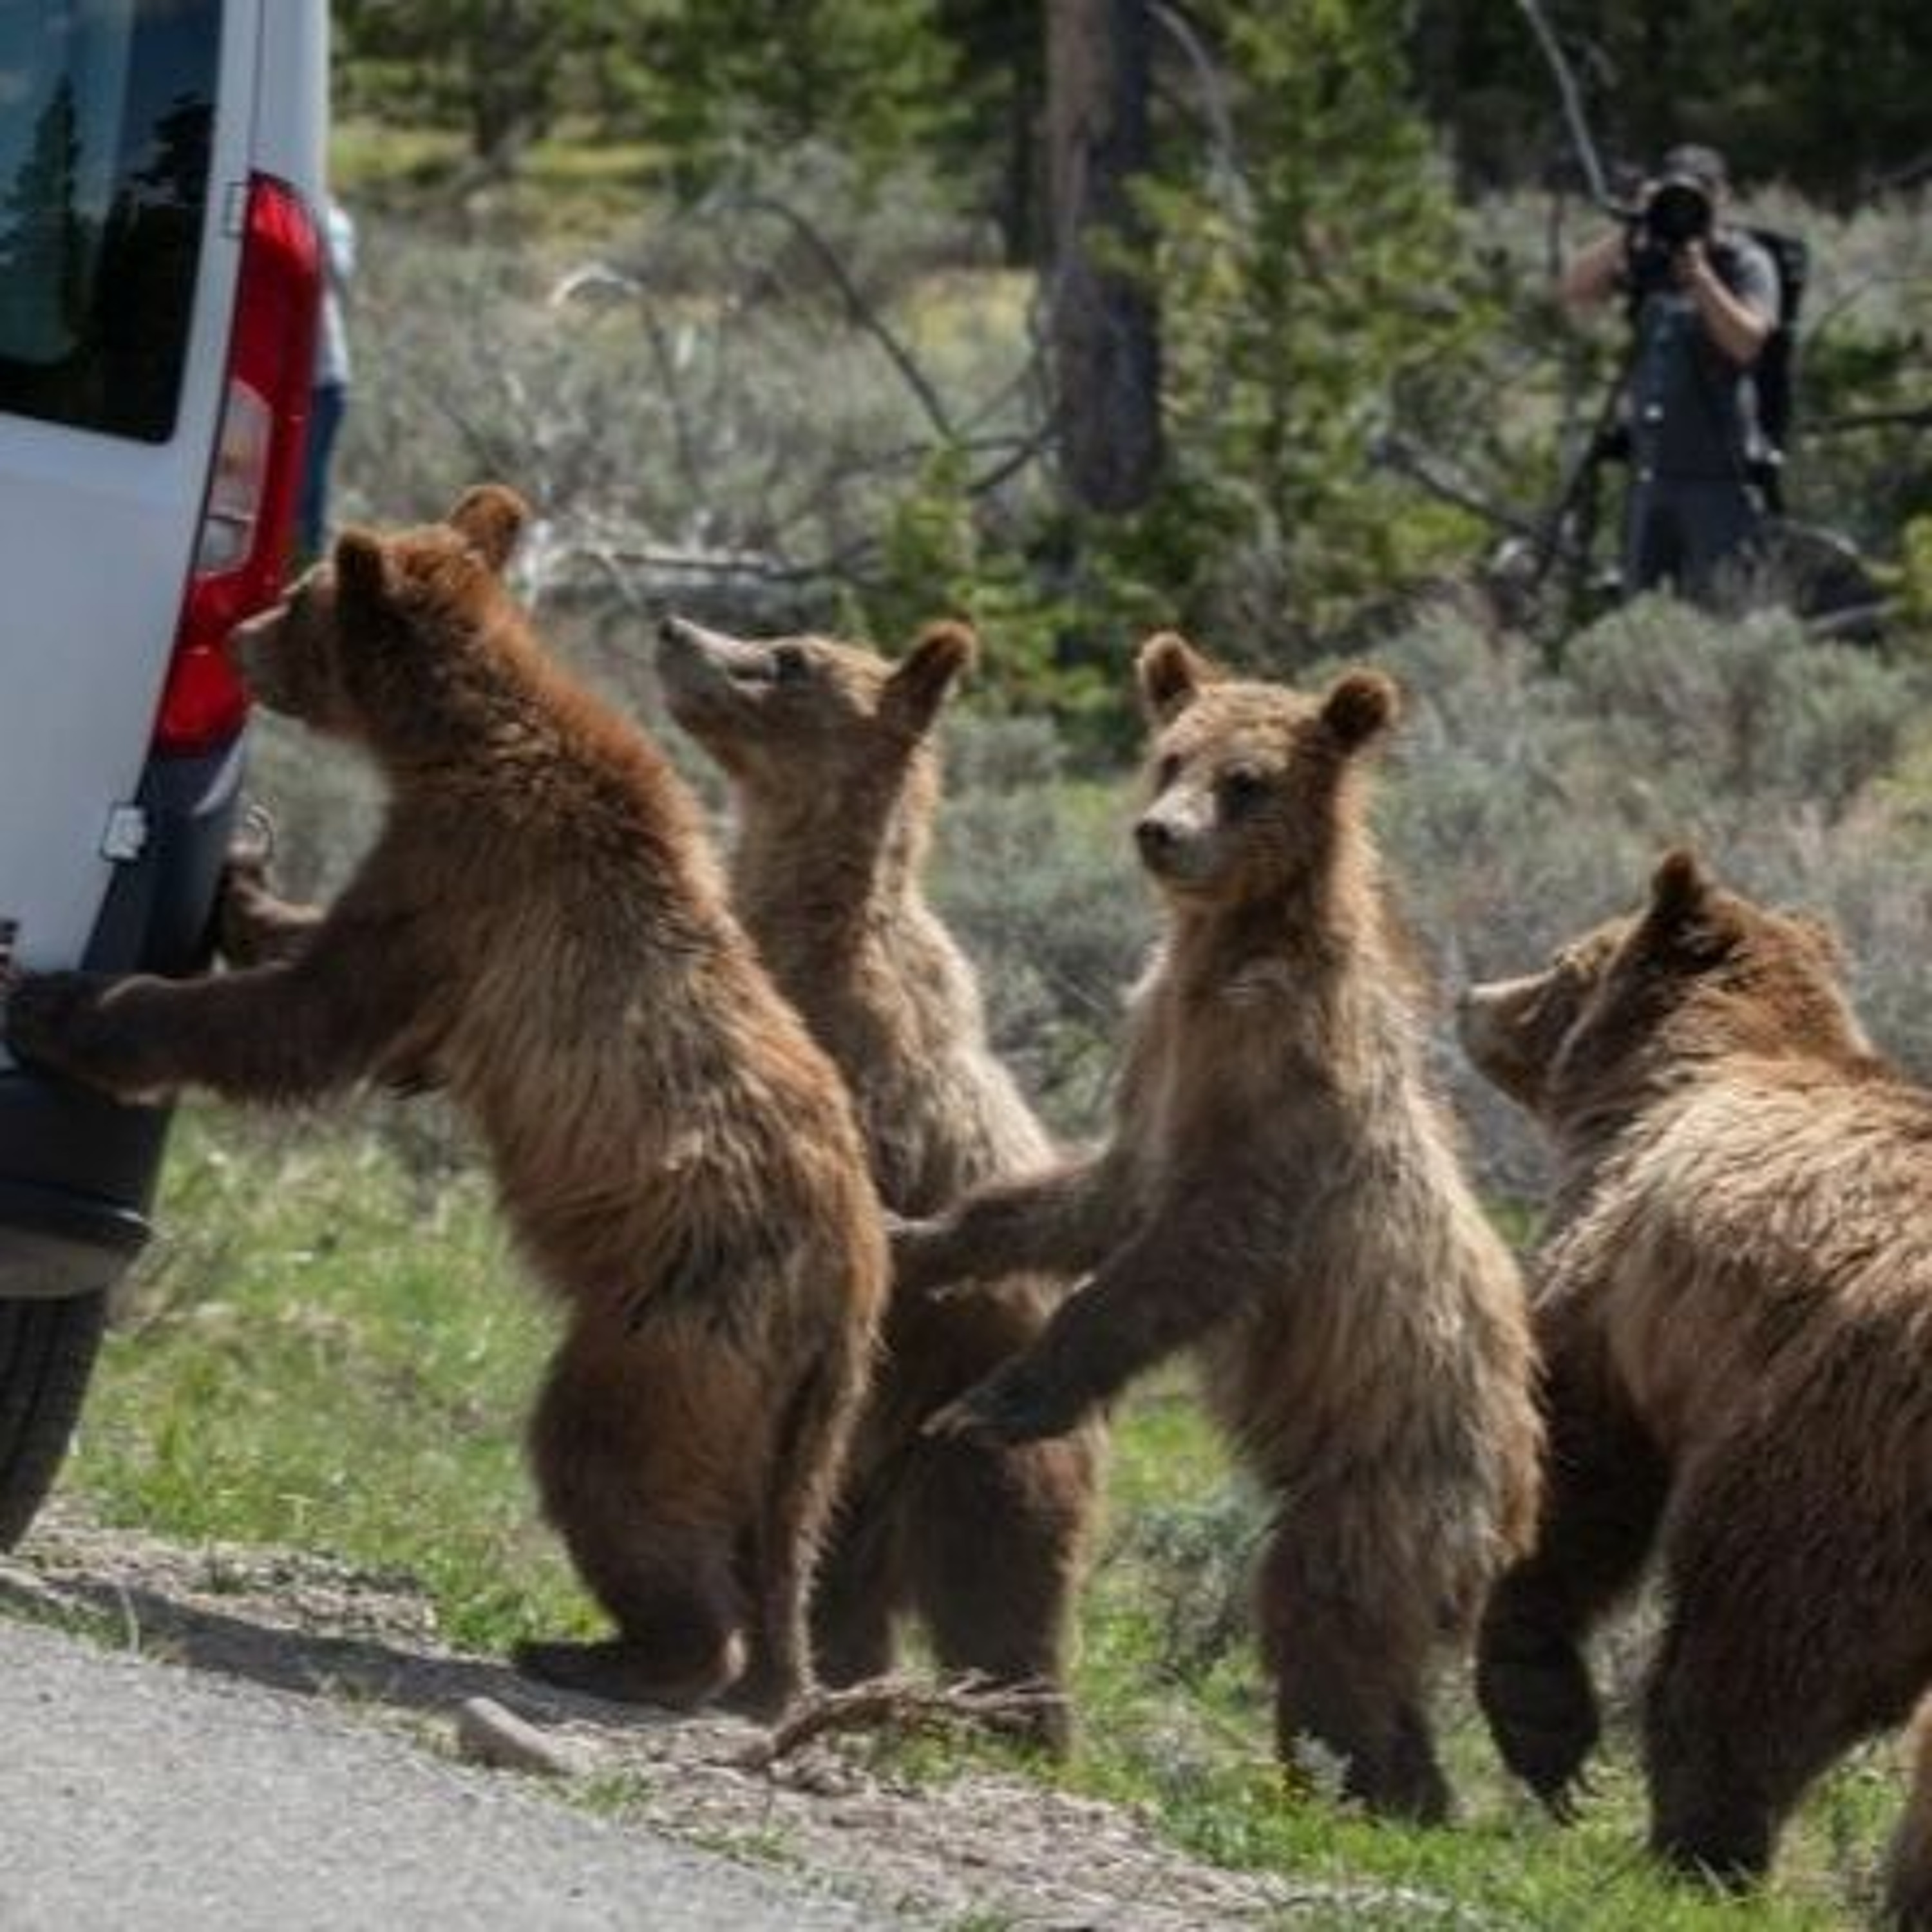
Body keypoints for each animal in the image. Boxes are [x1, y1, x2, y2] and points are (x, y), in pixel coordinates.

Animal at [4, 487, 886, 1719]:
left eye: (300, 598)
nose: (237, 639)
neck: (447, 737)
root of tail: (853, 1275)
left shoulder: (468, 875)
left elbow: (311, 1015)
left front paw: (60, 1002)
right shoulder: (445, 890)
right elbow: (335, 974)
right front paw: (243, 881)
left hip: (679, 1321)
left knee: (604, 1458)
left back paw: (620, 1653)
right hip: (795, 1410)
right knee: (776, 1522)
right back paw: (753, 1663)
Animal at [654, 613, 1100, 1743]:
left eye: (789, 657)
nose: (675, 628)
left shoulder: (868, 1086)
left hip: (963, 1443)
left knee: (1002, 1591)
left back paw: (1015, 1721)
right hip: (871, 1476)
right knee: (846, 1581)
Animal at [892, 632, 1544, 1821]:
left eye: (1248, 782)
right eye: (1170, 755)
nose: (1161, 832)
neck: (1228, 956)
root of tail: (1521, 1495)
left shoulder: (1278, 1084)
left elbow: (1187, 1251)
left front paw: (990, 1405)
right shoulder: (1159, 1047)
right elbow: (1098, 1194)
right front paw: (916, 1234)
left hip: (1390, 1472)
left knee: (1323, 1609)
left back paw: (1352, 1785)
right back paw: (1396, 1785)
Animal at [1457, 850, 1932, 1922]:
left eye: (1561, 961)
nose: (1470, 997)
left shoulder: (1613, 1281)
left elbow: (1578, 1470)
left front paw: (1545, 1725)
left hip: (1831, 1441)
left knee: (1764, 1642)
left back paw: (1704, 1844)